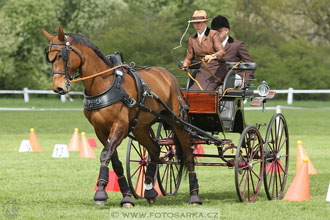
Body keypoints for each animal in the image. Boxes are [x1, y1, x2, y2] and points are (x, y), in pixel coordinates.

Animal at [41, 24, 201, 207]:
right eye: (50, 58)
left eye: (61, 55)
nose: (58, 88)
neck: (104, 84)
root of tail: (169, 77)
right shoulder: (100, 130)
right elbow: (115, 161)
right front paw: (126, 196)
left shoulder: (120, 125)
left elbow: (105, 154)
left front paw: (100, 192)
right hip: (140, 127)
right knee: (154, 150)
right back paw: (150, 190)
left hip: (178, 122)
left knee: (188, 155)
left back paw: (194, 195)